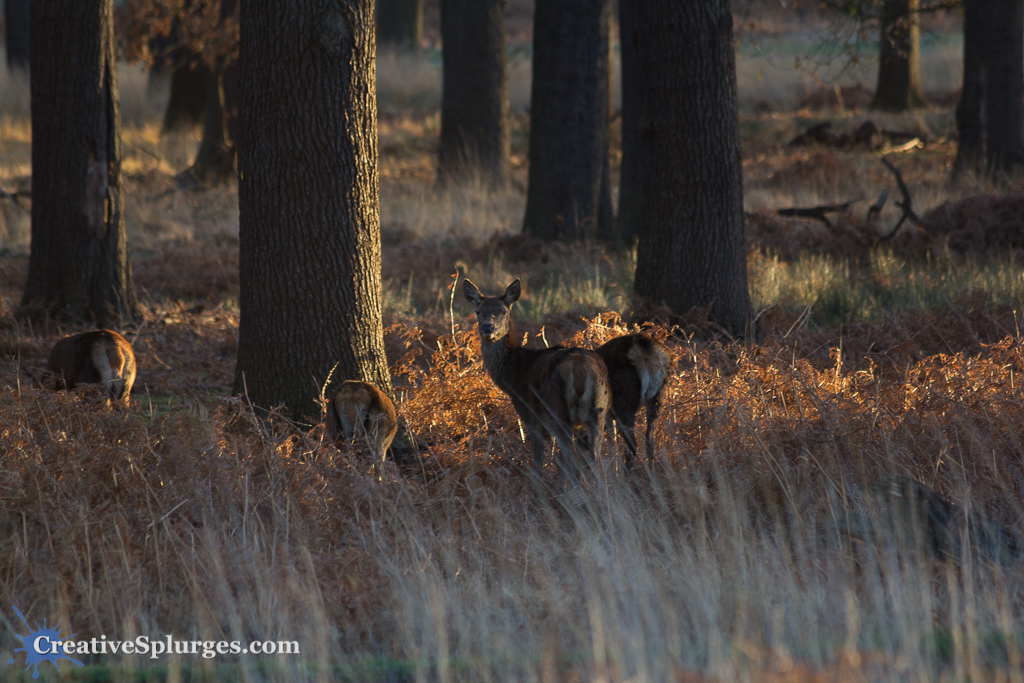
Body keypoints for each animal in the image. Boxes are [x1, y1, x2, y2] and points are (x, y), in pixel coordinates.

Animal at [464, 278, 611, 493]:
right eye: (478, 311)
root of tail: (580, 369)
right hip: (598, 410)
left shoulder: (530, 415)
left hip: (559, 412)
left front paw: (539, 494)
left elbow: (540, 461)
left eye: (503, 311)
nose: (487, 328)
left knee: (573, 459)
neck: (514, 375)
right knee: (595, 459)